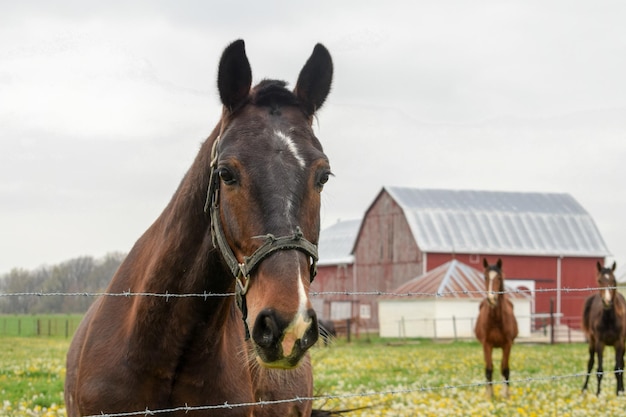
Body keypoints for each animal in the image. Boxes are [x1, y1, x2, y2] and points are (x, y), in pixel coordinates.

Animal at [472, 256, 516, 396]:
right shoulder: (487, 345)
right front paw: (489, 395)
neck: (496, 320)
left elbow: (505, 369)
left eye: (499, 277)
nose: (492, 299)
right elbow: (489, 369)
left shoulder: (507, 344)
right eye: (485, 277)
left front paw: (505, 395)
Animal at [576, 262, 620, 394]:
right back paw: (584, 389)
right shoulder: (600, 343)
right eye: (599, 280)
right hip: (592, 342)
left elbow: (619, 368)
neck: (609, 320)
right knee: (590, 363)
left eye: (613, 280)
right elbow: (599, 370)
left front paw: (620, 392)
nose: (607, 301)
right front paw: (598, 394)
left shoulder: (620, 343)